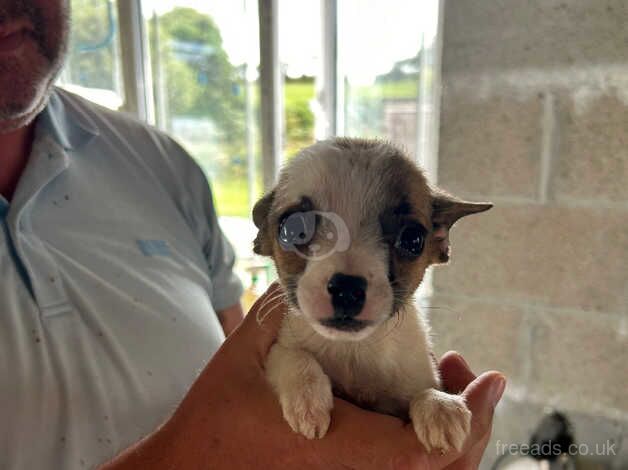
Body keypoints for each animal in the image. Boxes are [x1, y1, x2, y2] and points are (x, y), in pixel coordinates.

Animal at [253, 138, 494, 454]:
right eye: (293, 229)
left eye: (413, 239)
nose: (347, 289)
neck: (355, 348)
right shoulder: (279, 350)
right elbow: (291, 355)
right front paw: (307, 397)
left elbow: (425, 390)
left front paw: (440, 406)